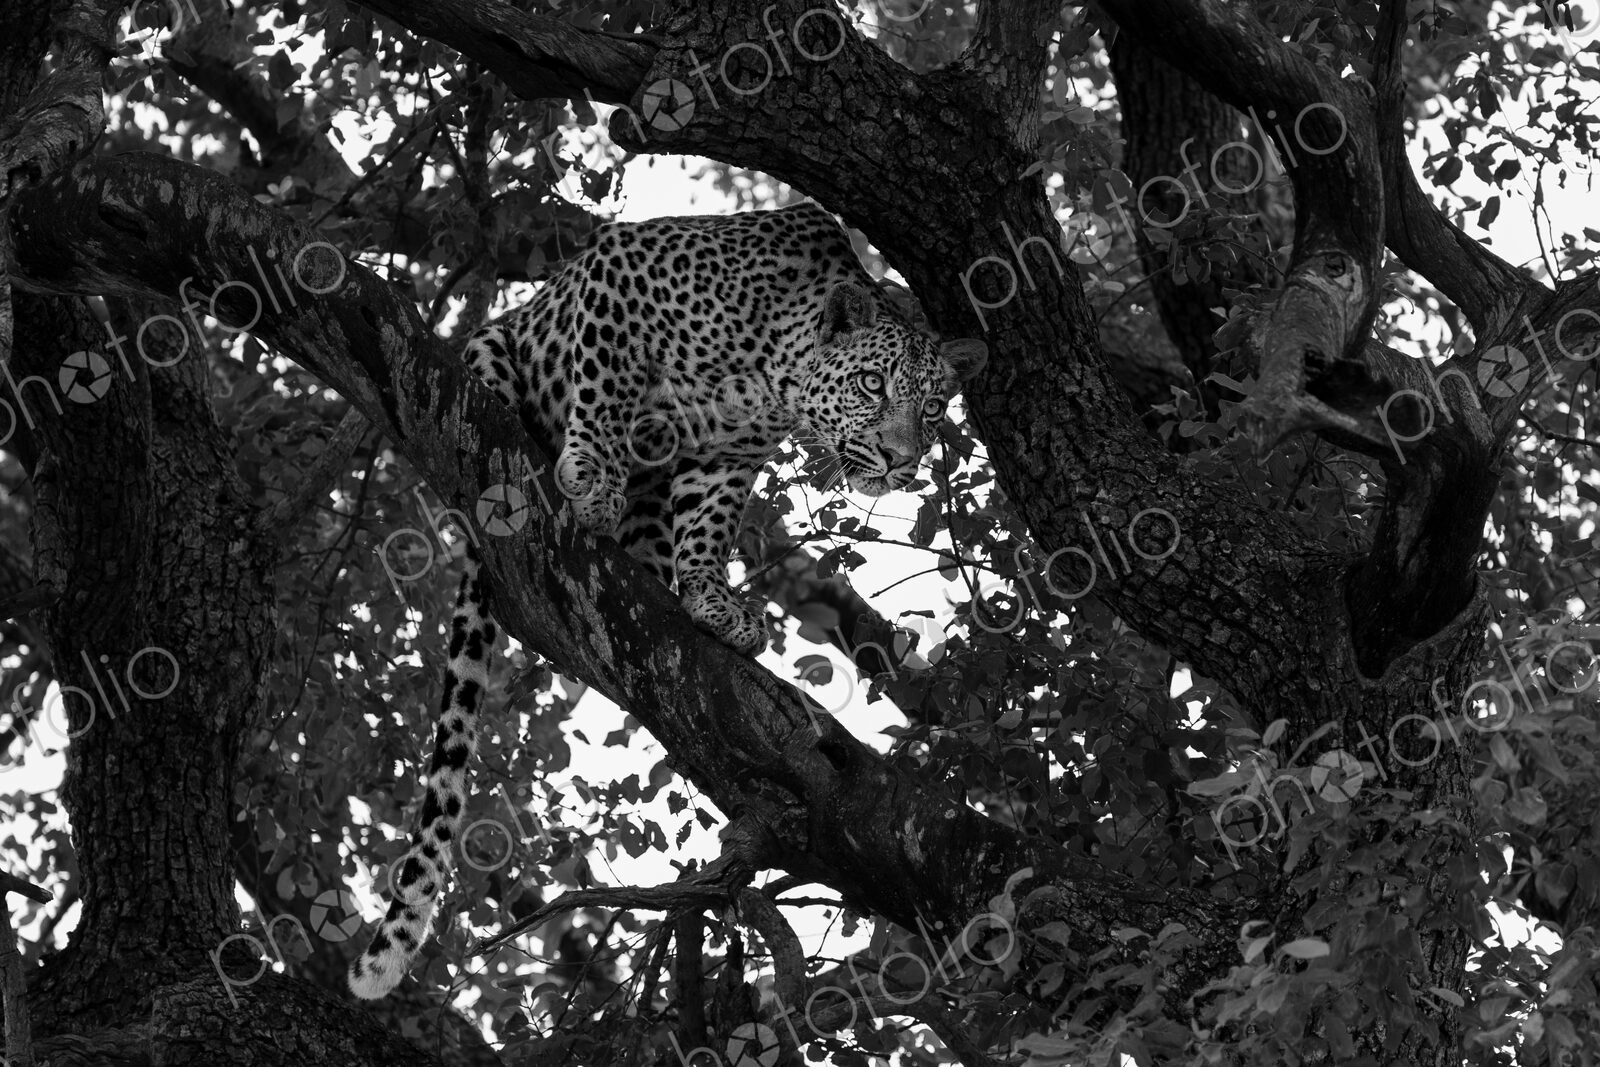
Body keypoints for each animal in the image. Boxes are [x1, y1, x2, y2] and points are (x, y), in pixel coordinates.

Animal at [348, 201, 987, 999]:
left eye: (932, 408)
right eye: (873, 384)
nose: (902, 459)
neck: (772, 367)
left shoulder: (727, 455)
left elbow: (709, 523)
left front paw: (711, 600)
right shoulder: (615, 280)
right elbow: (605, 387)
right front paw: (592, 476)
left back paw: (648, 575)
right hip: (493, 352)